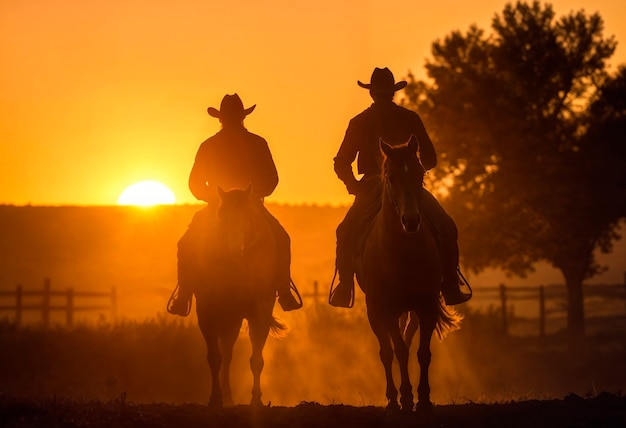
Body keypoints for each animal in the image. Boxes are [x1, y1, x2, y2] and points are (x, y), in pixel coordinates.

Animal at [194, 186, 286, 408]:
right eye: (221, 214)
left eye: (247, 215)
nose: (234, 248)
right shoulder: (206, 310)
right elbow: (214, 357)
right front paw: (215, 398)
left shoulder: (261, 310)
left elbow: (257, 359)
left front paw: (256, 399)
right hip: (229, 317)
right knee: (226, 355)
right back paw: (226, 396)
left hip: (234, 318)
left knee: (229, 353)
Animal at [354, 135, 460, 412]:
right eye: (391, 177)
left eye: (420, 174)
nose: (411, 221)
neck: (402, 253)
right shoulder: (388, 309)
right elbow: (398, 351)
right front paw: (405, 397)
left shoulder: (426, 306)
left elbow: (422, 352)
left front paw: (423, 399)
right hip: (375, 311)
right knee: (387, 351)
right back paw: (394, 398)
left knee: (406, 341)